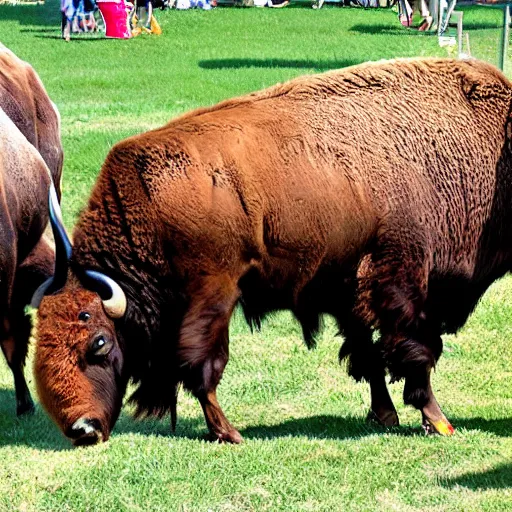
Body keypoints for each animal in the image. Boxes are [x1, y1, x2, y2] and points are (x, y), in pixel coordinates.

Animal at [34, 58, 510, 446]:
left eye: (98, 342)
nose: (82, 429)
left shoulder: (359, 281)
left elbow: (377, 352)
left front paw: (397, 417)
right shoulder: (397, 278)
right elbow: (410, 351)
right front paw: (438, 421)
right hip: (220, 294)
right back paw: (230, 431)